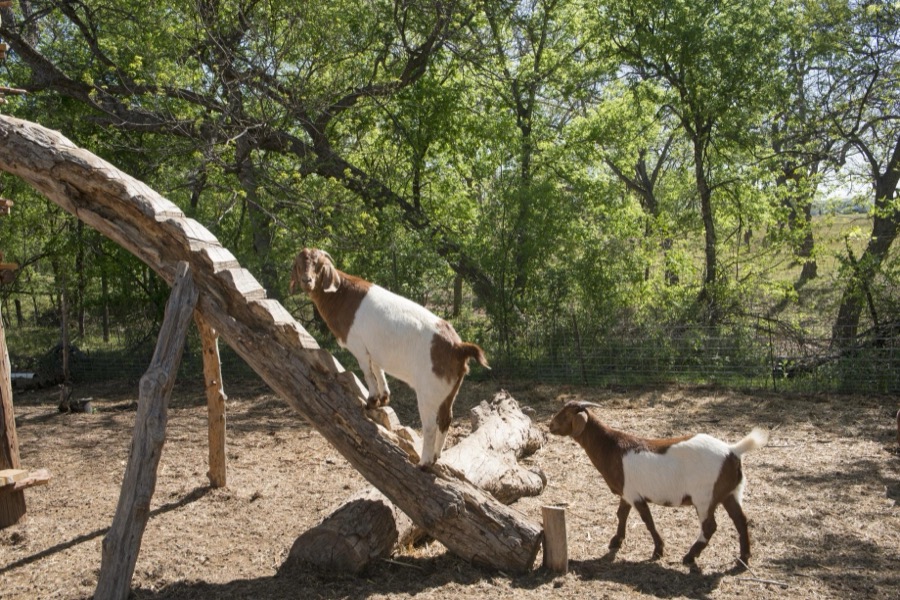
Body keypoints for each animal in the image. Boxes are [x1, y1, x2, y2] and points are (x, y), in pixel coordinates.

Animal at [290, 248, 489, 468]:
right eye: (299, 264)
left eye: (318, 265)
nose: (307, 280)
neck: (341, 296)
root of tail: (458, 347)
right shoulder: (374, 349)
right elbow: (378, 369)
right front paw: (384, 397)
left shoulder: (358, 345)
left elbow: (368, 372)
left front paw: (371, 401)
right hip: (450, 390)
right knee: (446, 419)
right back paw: (436, 457)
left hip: (429, 390)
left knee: (430, 425)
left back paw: (424, 463)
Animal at [548, 401, 768, 566]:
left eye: (565, 415)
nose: (549, 426)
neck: (611, 447)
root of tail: (732, 451)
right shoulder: (626, 492)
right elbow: (621, 514)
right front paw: (616, 541)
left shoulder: (634, 494)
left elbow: (647, 520)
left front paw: (658, 550)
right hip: (731, 492)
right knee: (740, 521)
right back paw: (744, 557)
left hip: (705, 497)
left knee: (709, 526)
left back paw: (690, 556)